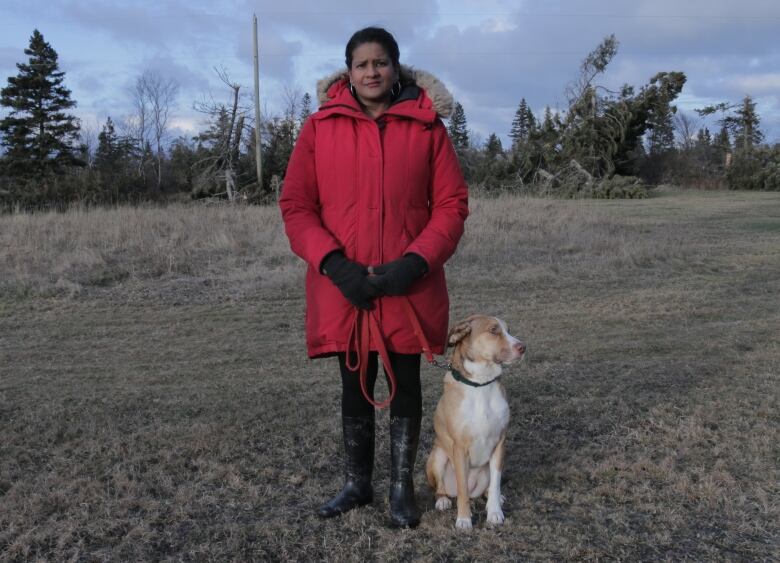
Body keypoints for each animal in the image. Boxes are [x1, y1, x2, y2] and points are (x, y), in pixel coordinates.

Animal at [424, 316, 528, 532]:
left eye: (508, 330)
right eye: (494, 330)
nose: (523, 347)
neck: (481, 385)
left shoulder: (500, 443)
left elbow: (496, 485)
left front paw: (495, 513)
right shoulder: (459, 448)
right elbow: (462, 489)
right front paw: (464, 519)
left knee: (488, 488)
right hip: (438, 456)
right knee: (444, 489)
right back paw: (443, 500)